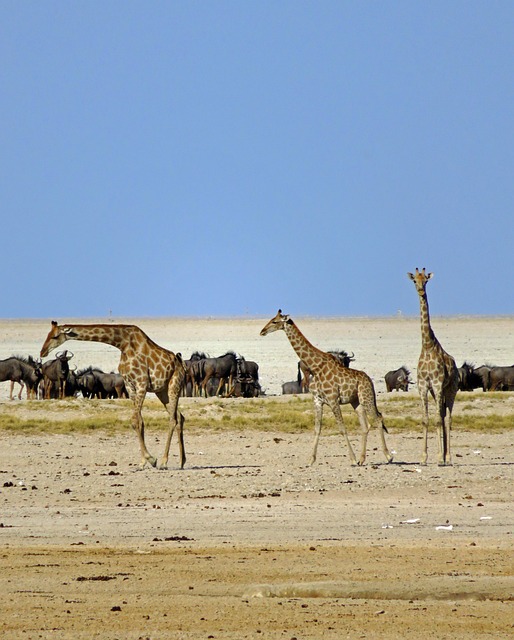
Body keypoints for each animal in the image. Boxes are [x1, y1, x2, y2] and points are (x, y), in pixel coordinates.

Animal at [40, 321, 186, 470]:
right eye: (48, 334)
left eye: (55, 336)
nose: (42, 352)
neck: (123, 343)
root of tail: (182, 366)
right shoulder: (130, 385)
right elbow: (139, 422)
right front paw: (143, 462)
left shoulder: (141, 384)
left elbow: (135, 420)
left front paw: (151, 459)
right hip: (161, 391)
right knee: (179, 417)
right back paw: (182, 461)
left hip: (174, 385)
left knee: (173, 419)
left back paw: (164, 462)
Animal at [260, 310, 393, 466]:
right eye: (271, 319)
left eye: (275, 321)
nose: (262, 331)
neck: (316, 367)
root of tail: (370, 381)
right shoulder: (317, 400)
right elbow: (317, 429)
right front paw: (311, 460)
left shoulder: (333, 399)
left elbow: (342, 428)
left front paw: (352, 458)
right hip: (356, 401)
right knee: (366, 426)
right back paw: (362, 459)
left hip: (366, 397)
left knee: (378, 419)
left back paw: (388, 456)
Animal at [408, 268, 459, 465]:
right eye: (415, 280)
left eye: (426, 281)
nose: (421, 291)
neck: (428, 346)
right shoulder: (423, 386)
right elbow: (426, 420)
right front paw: (423, 458)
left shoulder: (437, 385)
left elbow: (437, 420)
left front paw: (439, 458)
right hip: (439, 392)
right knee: (443, 415)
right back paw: (444, 455)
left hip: (451, 390)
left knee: (447, 419)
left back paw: (448, 457)